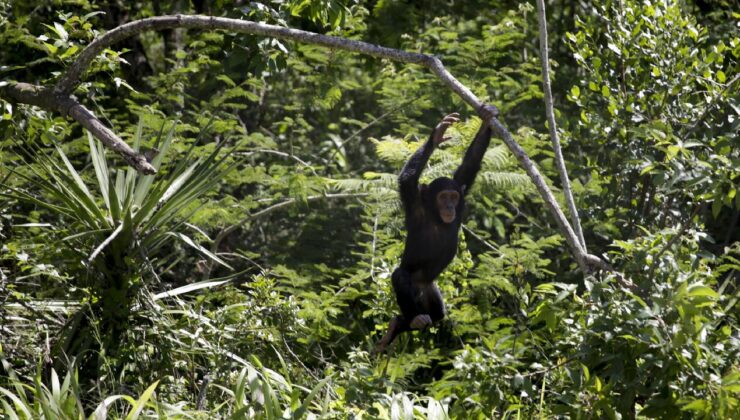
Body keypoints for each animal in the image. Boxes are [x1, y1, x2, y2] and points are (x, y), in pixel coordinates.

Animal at [376, 103, 498, 352]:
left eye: (453, 196)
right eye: (443, 197)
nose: (450, 206)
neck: (436, 216)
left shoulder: (462, 189)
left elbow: (470, 163)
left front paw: (486, 117)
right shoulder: (414, 202)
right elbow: (407, 179)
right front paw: (437, 134)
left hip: (431, 291)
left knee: (438, 315)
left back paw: (398, 325)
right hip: (413, 294)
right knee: (400, 276)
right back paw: (412, 319)